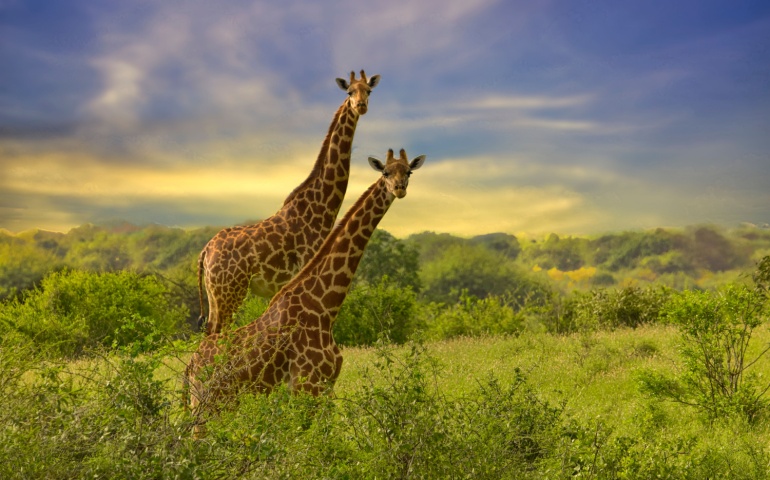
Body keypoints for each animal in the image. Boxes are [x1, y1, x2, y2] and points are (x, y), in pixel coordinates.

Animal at [187, 149, 426, 436]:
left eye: (408, 172)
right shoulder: (306, 386)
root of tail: (190, 367)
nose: (399, 189)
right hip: (208, 406)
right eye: (386, 173)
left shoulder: (325, 387)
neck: (324, 307)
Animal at [196, 69, 380, 336]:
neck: (321, 208)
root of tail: (205, 252)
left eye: (369, 91)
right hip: (229, 291)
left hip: (215, 294)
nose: (361, 106)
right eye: (349, 92)